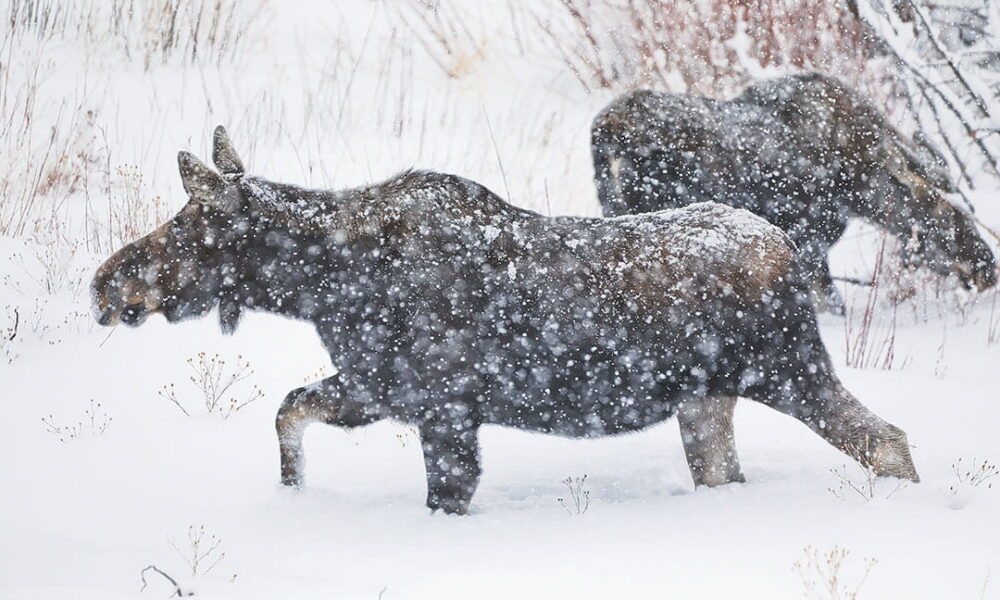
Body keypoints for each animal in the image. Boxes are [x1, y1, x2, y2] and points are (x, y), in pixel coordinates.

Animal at [94, 127, 920, 516]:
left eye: (188, 225)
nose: (105, 282)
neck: (320, 286)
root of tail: (785, 248)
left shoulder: (444, 410)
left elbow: (443, 493)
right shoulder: (377, 389)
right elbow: (288, 414)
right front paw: (292, 497)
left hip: (787, 370)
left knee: (888, 441)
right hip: (706, 399)